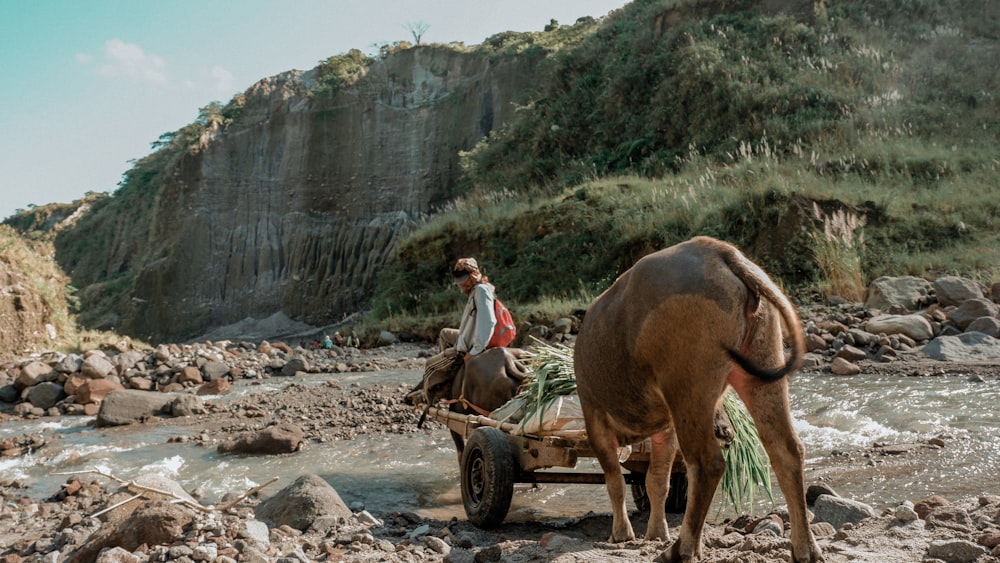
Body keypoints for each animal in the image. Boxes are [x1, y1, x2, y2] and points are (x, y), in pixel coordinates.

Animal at [576, 238, 824, 563]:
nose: (726, 431)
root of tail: (717, 251)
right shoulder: (664, 428)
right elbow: (657, 482)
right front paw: (656, 533)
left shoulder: (594, 416)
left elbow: (615, 481)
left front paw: (622, 534)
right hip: (762, 369)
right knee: (787, 451)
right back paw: (805, 549)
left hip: (687, 389)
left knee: (707, 464)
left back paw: (681, 549)